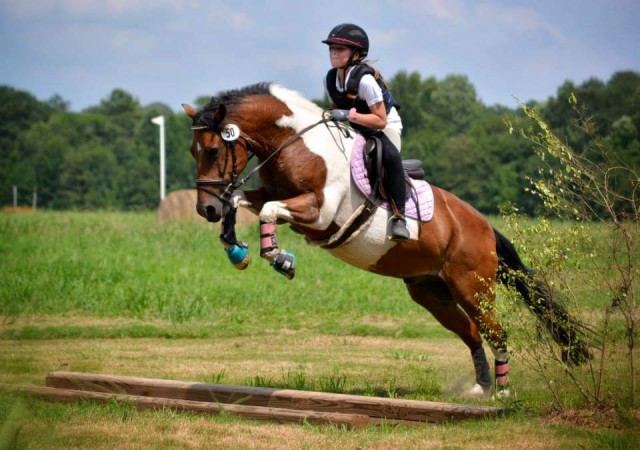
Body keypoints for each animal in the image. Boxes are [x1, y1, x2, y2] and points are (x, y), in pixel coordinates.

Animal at [181, 82, 592, 396]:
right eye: (192, 151)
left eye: (214, 150)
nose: (205, 209)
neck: (297, 144)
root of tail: (485, 227)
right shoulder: (275, 195)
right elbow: (240, 199)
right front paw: (236, 248)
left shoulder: (320, 213)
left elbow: (266, 211)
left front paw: (280, 258)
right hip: (431, 292)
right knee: (473, 333)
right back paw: (480, 388)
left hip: (472, 287)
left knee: (497, 331)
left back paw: (504, 393)